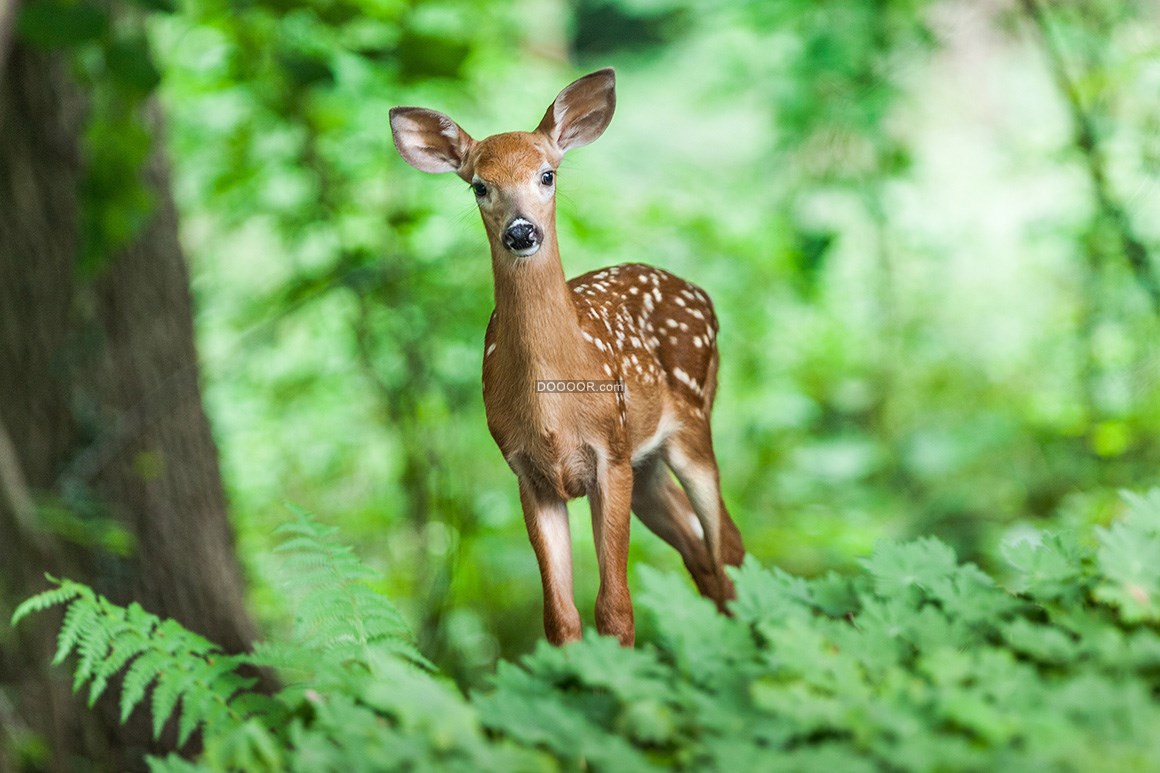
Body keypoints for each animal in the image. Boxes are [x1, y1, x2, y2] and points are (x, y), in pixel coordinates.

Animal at [392, 69, 742, 645]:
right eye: (479, 185)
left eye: (547, 175)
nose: (521, 231)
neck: (554, 405)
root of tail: (701, 294)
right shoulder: (528, 473)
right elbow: (560, 617)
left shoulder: (610, 453)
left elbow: (615, 609)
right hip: (647, 465)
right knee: (701, 553)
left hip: (691, 422)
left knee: (727, 545)